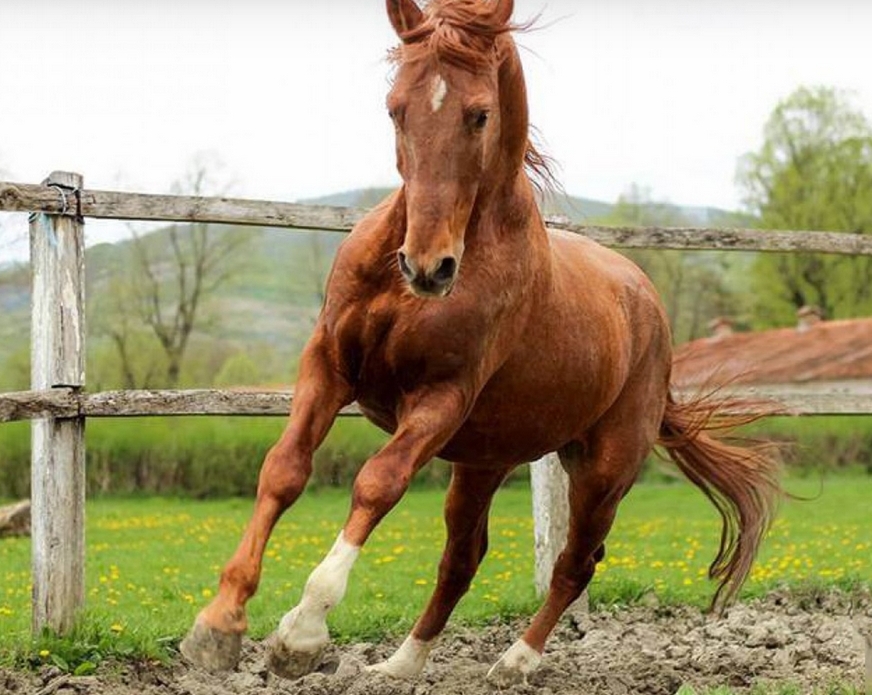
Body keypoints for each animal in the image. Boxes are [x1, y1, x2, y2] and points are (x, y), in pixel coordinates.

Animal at [181, 0, 780, 684]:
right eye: (395, 107)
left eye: (480, 114)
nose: (427, 266)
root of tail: (647, 303)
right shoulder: (328, 366)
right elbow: (284, 470)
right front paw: (218, 626)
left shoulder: (441, 397)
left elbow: (377, 483)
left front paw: (300, 635)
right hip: (483, 463)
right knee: (463, 560)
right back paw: (399, 666)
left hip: (604, 469)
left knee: (575, 563)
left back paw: (516, 662)